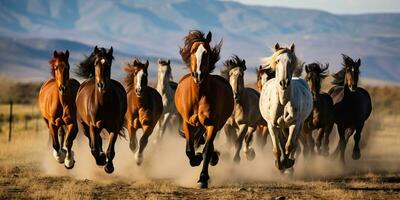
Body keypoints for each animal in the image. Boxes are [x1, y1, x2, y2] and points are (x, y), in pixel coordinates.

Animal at [175, 30, 234, 188]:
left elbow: (207, 150)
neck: (199, 95)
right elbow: (189, 149)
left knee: (209, 144)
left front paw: (203, 179)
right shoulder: (187, 122)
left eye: (206, 52)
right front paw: (195, 159)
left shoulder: (212, 124)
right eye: (192, 51)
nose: (198, 75)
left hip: (219, 124)